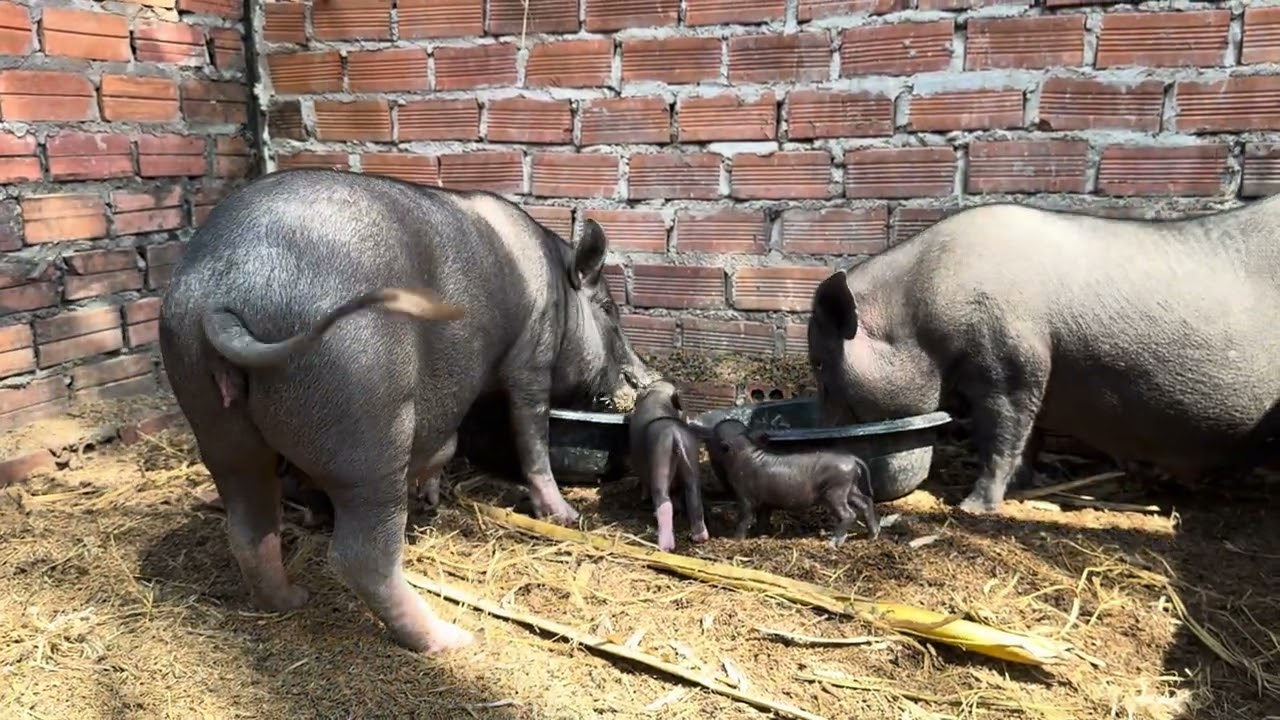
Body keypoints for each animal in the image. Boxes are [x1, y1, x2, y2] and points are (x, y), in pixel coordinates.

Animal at [158, 168, 655, 654]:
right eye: (609, 310)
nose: (645, 377)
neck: (558, 291)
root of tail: (225, 297)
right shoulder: (532, 357)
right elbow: (531, 436)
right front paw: (565, 516)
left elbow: (450, 444)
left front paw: (431, 496)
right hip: (366, 413)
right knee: (360, 555)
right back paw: (451, 640)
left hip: (213, 416)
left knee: (249, 524)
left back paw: (292, 599)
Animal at [628, 380, 709, 552]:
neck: (659, 395)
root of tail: (675, 434)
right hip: (690, 457)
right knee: (694, 496)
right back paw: (699, 538)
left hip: (660, 461)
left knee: (664, 502)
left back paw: (665, 546)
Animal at [710, 419, 880, 547]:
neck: (744, 451)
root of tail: (852, 459)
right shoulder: (766, 503)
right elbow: (763, 519)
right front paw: (760, 535)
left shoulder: (745, 497)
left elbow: (744, 518)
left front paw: (735, 539)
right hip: (850, 487)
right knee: (866, 502)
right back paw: (873, 534)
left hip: (835, 491)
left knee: (849, 514)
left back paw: (833, 543)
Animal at [806, 199, 1280, 514]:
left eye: (821, 365)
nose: (822, 437)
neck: (921, 315)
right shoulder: (1033, 379)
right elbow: (1028, 439)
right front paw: (1022, 486)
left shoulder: (1012, 364)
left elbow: (1002, 437)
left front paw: (972, 508)